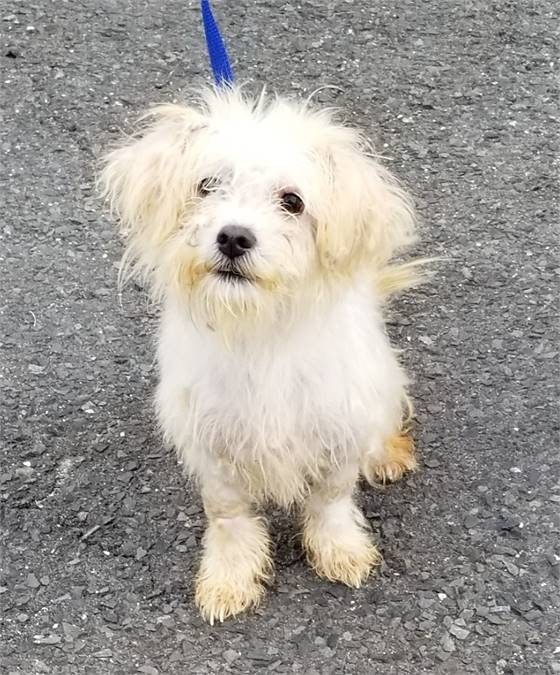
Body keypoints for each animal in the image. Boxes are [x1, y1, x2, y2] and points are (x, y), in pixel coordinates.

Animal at [98, 87, 418, 624]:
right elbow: (228, 515)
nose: (233, 236)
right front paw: (229, 577)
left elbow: (331, 499)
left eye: (292, 201)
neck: (259, 329)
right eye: (207, 185)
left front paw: (340, 549)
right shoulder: (213, 443)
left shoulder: (338, 425)